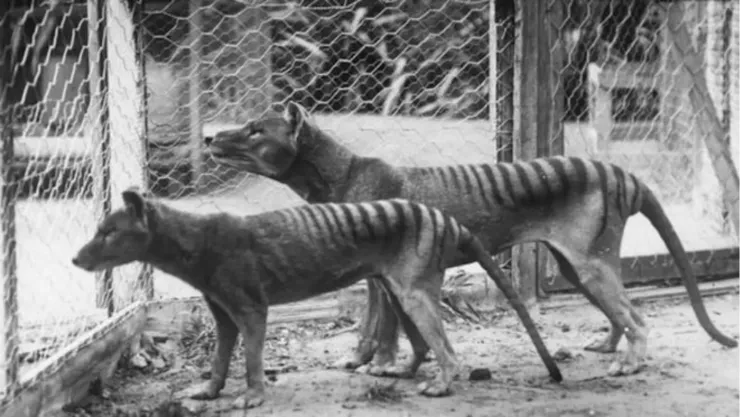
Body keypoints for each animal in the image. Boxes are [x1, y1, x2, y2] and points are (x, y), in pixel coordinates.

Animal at [71, 188, 562, 410]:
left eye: (108, 232)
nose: (75, 258)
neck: (195, 242)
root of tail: (445, 218)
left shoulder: (251, 307)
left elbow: (251, 358)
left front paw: (253, 396)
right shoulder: (222, 313)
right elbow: (219, 358)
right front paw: (209, 391)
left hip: (413, 291)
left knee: (447, 349)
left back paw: (442, 384)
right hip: (397, 289)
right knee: (423, 343)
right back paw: (401, 371)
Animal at [203, 101, 738, 378]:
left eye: (255, 130)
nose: (209, 137)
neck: (341, 173)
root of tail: (622, 174)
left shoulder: (381, 274)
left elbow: (382, 326)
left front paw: (378, 364)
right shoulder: (375, 274)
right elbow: (371, 325)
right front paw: (360, 359)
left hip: (589, 263)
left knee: (637, 317)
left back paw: (631, 363)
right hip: (574, 265)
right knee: (619, 313)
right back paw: (612, 348)